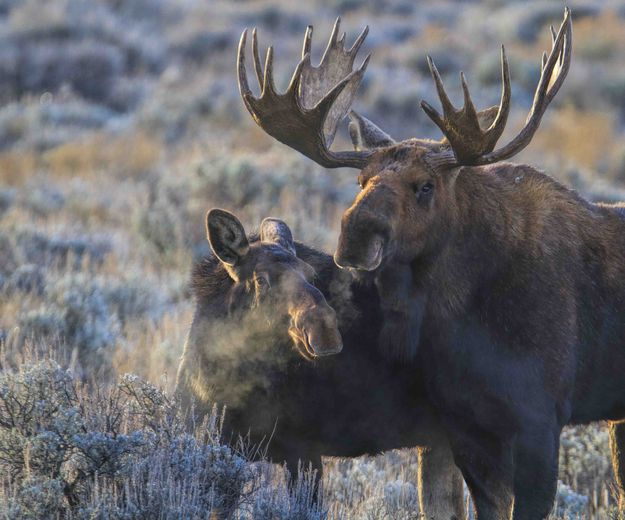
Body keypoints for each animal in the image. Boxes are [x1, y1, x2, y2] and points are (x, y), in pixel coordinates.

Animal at [239, 10, 625, 520]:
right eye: (361, 180)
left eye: (425, 186)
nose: (354, 237)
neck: (457, 315)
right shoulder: (463, 426)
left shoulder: (541, 419)